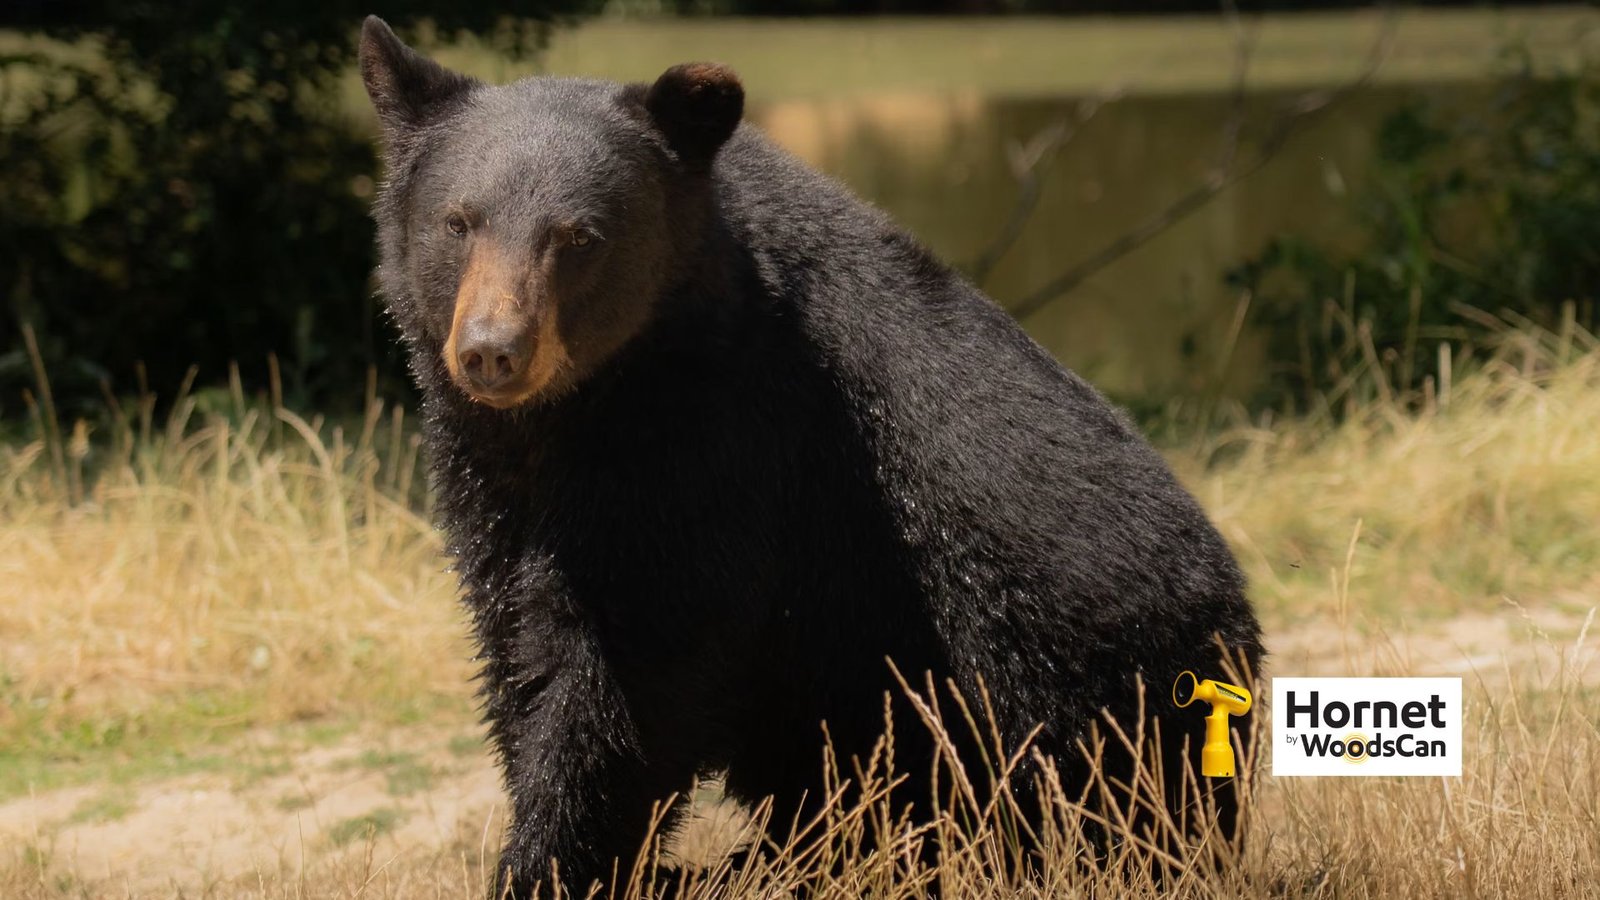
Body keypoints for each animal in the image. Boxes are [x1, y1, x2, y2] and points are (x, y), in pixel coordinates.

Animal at [358, 16, 1263, 898]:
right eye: (458, 222)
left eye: (579, 236)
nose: (492, 352)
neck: (581, 408)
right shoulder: (491, 474)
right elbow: (516, 638)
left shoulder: (722, 444)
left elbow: (627, 672)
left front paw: (552, 863)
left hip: (1066, 686)